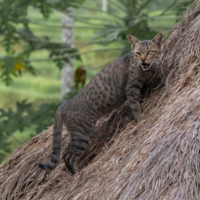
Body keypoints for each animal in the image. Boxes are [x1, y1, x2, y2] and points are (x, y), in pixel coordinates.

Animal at [38, 32, 162, 173]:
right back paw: (77, 174)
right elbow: (136, 108)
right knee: (70, 157)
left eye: (150, 52)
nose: (143, 60)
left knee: (64, 154)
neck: (144, 69)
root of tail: (65, 104)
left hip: (76, 135)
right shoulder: (131, 89)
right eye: (138, 53)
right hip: (82, 135)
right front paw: (141, 120)